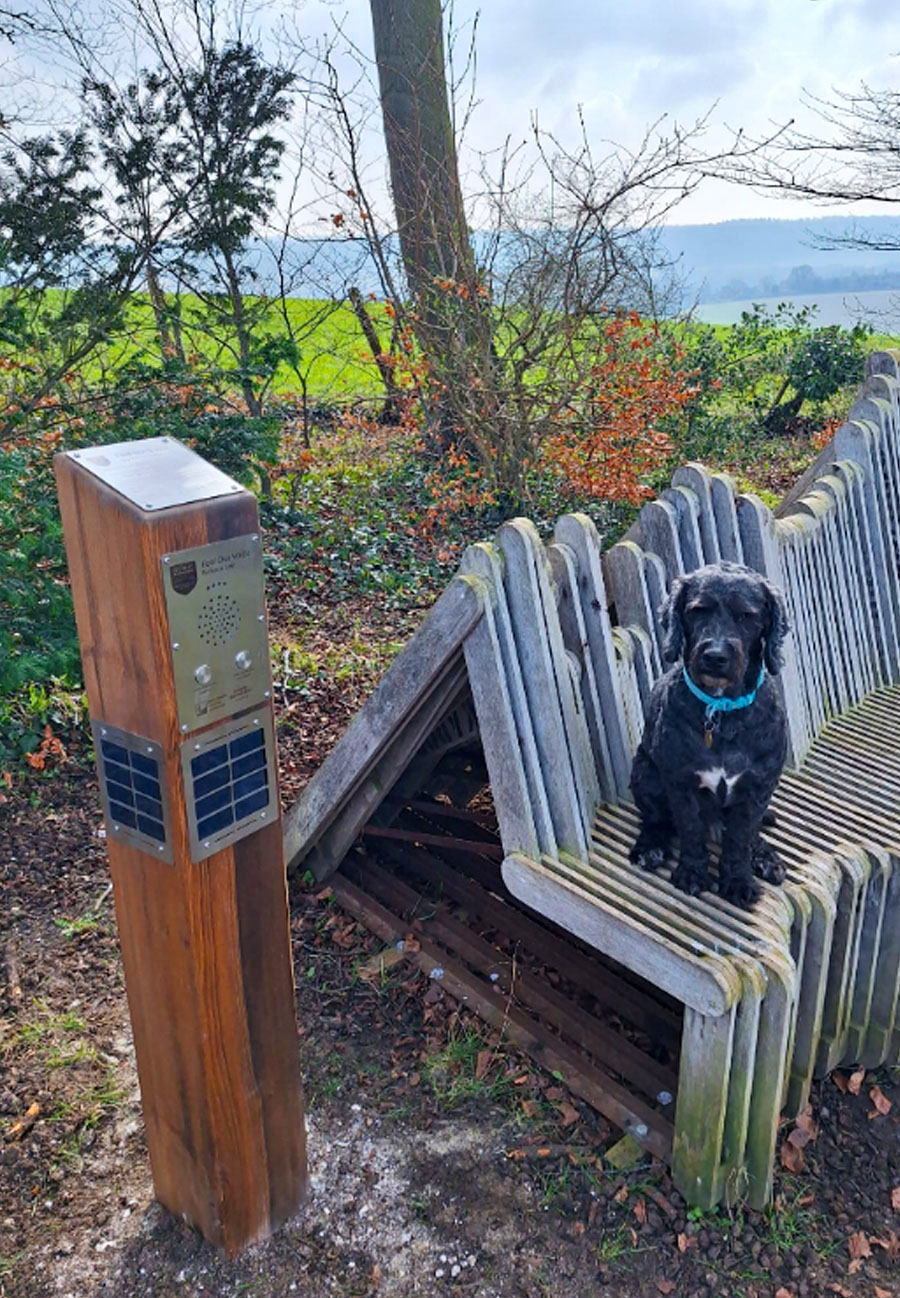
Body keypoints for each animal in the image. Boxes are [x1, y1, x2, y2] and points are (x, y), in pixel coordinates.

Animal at [631, 563, 784, 908]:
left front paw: (738, 880)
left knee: (753, 834)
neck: (720, 712)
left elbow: (740, 838)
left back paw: (766, 856)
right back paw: (649, 847)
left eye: (746, 616)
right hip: (644, 772)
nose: (715, 656)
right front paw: (691, 873)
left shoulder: (758, 787)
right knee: (656, 819)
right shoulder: (680, 783)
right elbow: (690, 830)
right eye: (698, 610)